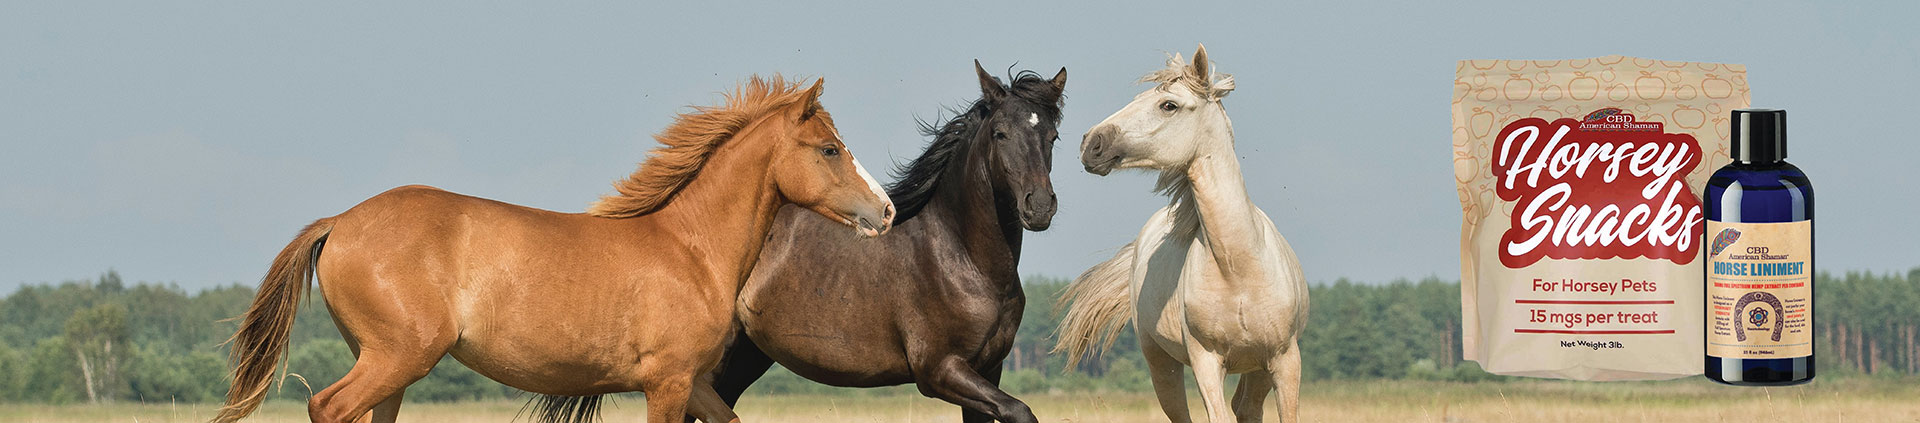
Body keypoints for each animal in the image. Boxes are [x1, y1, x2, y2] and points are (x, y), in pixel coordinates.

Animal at [212, 76, 896, 423]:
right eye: (830, 148)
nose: (885, 211)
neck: (691, 250)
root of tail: (341, 222)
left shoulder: (696, 382)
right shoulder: (668, 382)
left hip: (388, 365)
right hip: (397, 356)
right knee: (327, 407)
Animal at [695, 61, 1065, 423]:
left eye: (1053, 135)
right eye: (1000, 134)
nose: (1039, 206)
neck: (961, 258)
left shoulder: (989, 369)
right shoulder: (940, 370)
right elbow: (1020, 410)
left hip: (747, 356)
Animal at [1055, 45, 1309, 423]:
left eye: (1168, 105)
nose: (1091, 143)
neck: (1238, 268)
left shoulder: (1284, 360)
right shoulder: (1206, 362)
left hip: (1257, 369)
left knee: (1247, 408)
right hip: (1162, 364)